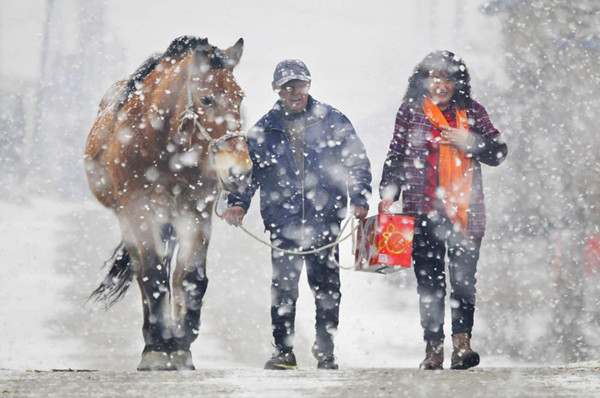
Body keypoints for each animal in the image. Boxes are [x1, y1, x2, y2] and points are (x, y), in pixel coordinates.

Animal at [84, 35, 253, 372]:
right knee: (144, 271)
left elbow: (190, 277)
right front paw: (159, 347)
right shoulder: (139, 210)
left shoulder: (196, 211)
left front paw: (182, 344)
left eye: (239, 97)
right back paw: (153, 336)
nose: (239, 171)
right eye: (206, 100)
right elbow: (153, 274)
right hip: (131, 219)